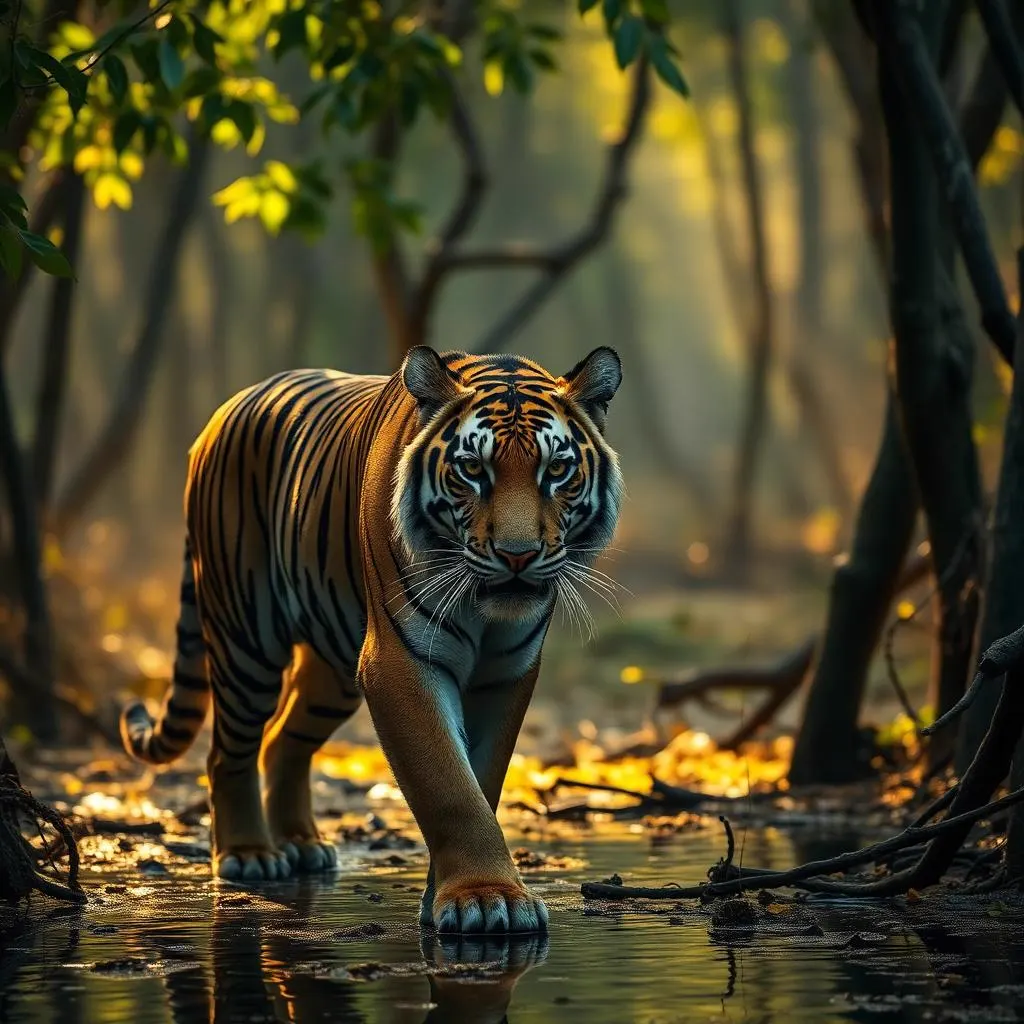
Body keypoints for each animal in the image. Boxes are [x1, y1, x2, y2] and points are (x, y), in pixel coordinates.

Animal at [119, 345, 623, 935]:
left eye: (557, 470)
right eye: (473, 469)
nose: (517, 556)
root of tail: (223, 412)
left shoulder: (506, 673)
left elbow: (483, 780)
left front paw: (459, 894)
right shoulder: (401, 662)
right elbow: (448, 785)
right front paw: (483, 898)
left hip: (332, 672)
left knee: (281, 739)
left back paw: (302, 844)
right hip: (246, 637)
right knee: (228, 750)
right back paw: (249, 854)